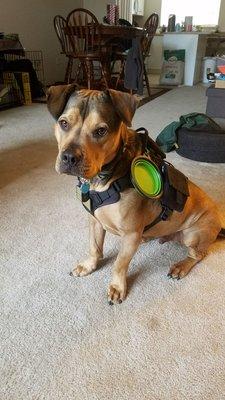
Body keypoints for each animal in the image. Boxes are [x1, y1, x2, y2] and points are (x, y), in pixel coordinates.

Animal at [47, 83, 223, 304]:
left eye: (101, 130)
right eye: (64, 123)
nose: (69, 157)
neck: (105, 177)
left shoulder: (131, 235)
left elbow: (120, 263)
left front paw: (117, 287)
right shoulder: (95, 221)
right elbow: (95, 248)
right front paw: (89, 266)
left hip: (194, 235)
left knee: (198, 255)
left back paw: (180, 266)